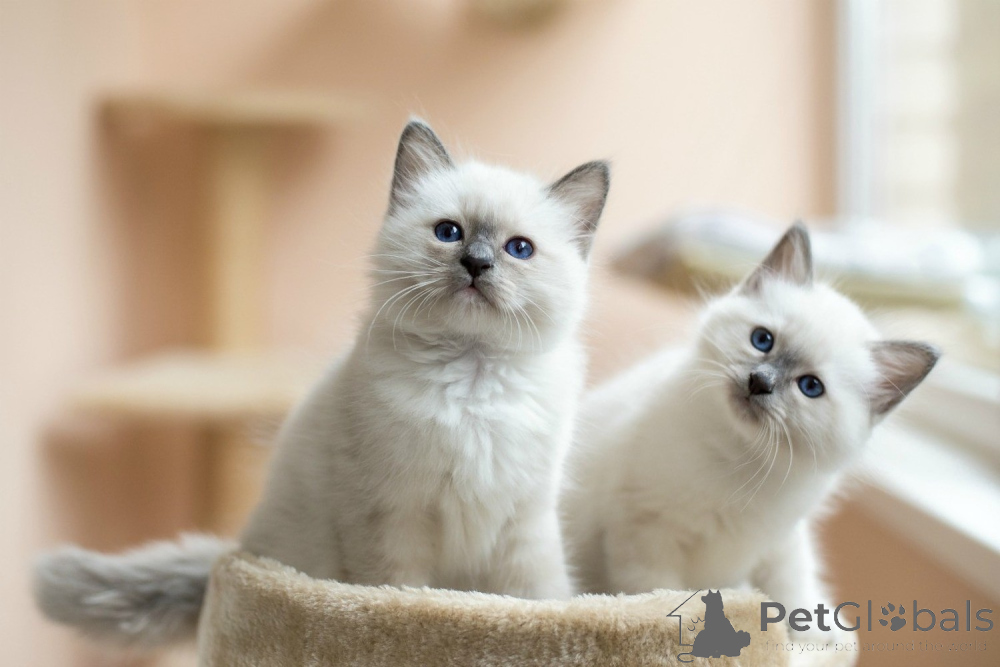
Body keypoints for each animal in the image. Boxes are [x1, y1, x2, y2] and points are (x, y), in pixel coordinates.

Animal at [35, 119, 610, 647]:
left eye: (519, 249)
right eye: (449, 233)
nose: (477, 263)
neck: (471, 376)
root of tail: (236, 547)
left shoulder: (523, 523)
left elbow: (538, 598)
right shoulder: (390, 515)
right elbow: (402, 593)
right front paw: (416, 618)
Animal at [561, 223, 939, 642]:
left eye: (810, 387)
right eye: (762, 340)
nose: (760, 382)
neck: (742, 461)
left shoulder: (780, 541)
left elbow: (795, 591)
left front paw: (815, 639)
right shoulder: (646, 532)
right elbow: (667, 597)